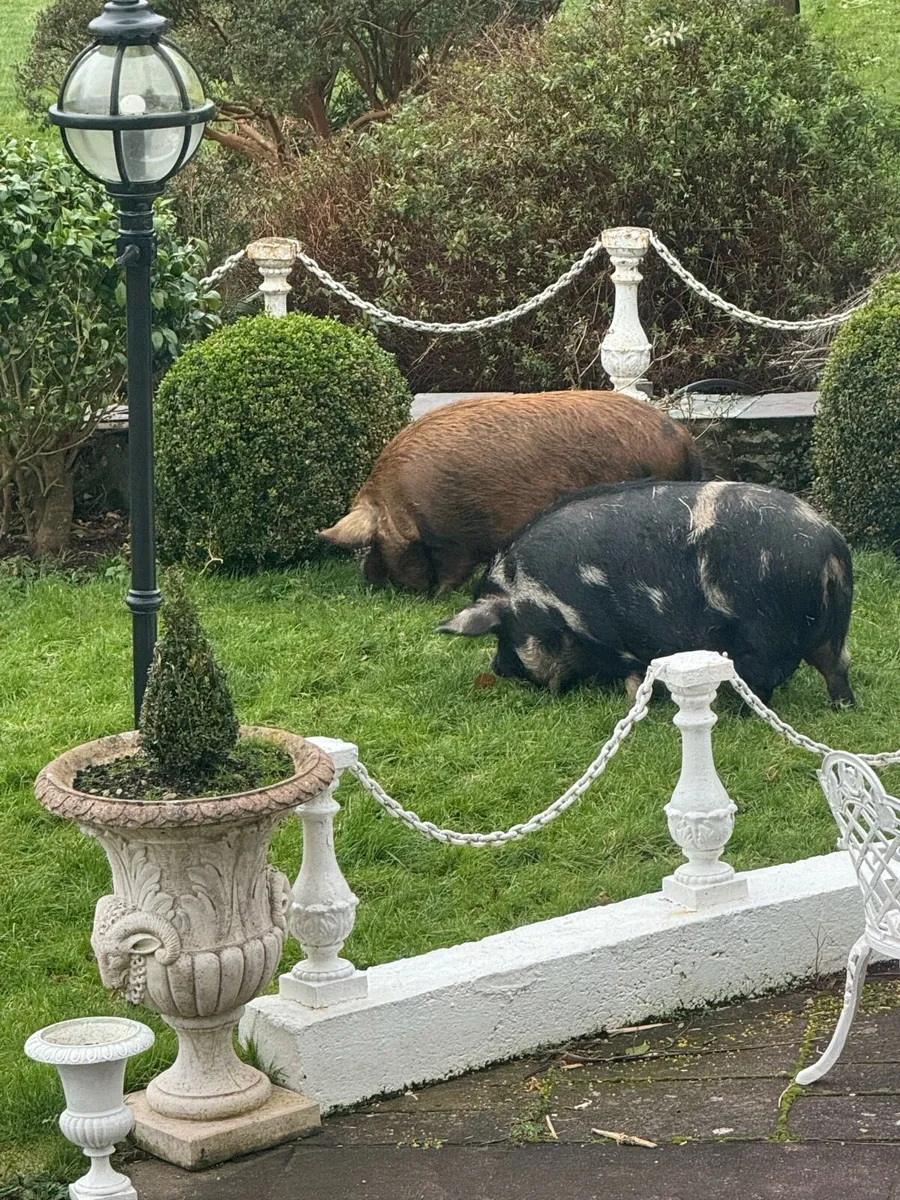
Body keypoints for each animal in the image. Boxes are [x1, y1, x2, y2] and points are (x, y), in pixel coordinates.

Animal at [319, 390, 701, 592]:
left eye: (376, 541)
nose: (369, 579)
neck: (405, 504)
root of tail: (684, 439)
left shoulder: (457, 538)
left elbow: (451, 573)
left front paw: (438, 595)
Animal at [438, 480, 855, 708]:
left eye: (502, 632)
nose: (497, 667)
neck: (540, 597)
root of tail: (830, 542)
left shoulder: (614, 636)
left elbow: (632, 674)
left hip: (766, 636)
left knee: (766, 683)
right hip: (832, 632)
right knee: (838, 665)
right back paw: (843, 707)